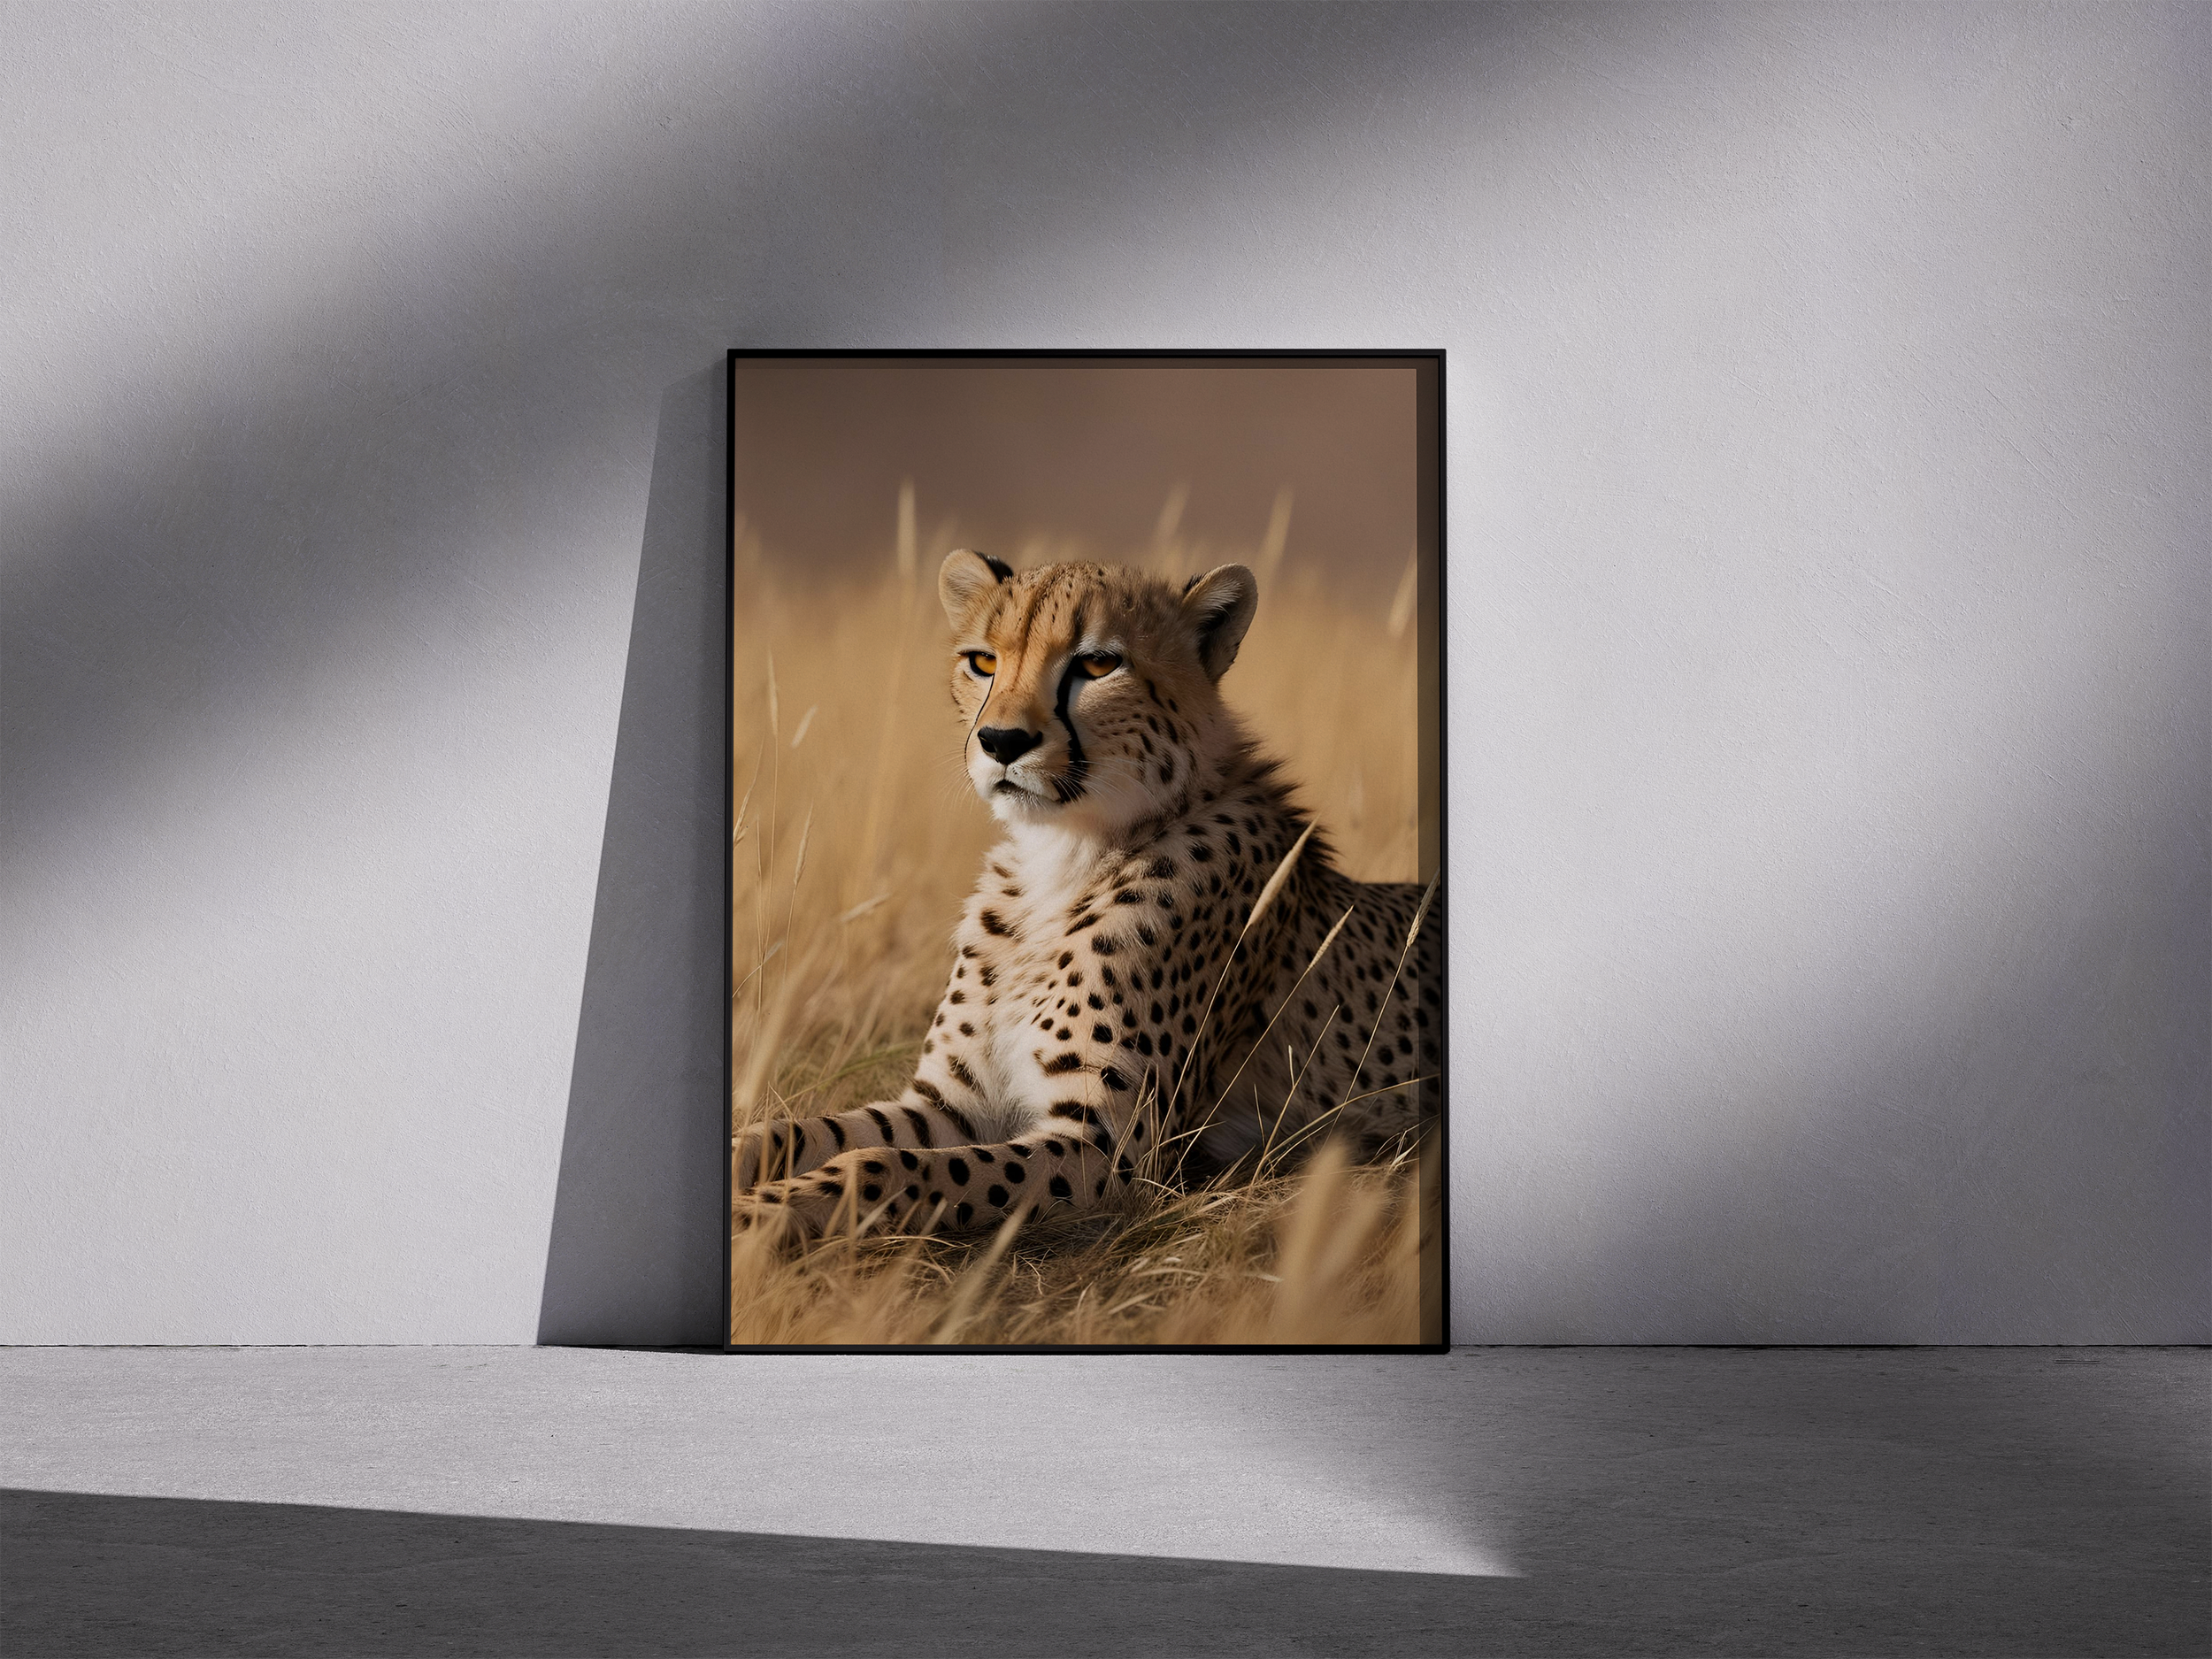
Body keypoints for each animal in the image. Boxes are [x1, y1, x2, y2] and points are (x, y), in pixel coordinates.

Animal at [731, 549, 1442, 1245]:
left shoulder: (1111, 1152)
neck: (1063, 856)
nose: (1001, 741)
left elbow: (888, 1165)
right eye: (983, 661)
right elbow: (802, 1131)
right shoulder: (949, 1105)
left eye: (1098, 664)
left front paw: (762, 1214)